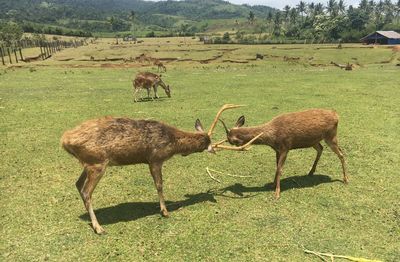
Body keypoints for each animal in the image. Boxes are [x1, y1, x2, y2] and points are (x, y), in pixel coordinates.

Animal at [61, 104, 258, 233]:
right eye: (207, 142)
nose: (213, 149)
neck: (172, 142)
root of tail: (64, 140)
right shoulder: (155, 158)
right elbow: (159, 185)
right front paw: (165, 211)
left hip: (88, 163)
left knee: (77, 184)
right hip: (97, 162)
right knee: (86, 191)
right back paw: (99, 227)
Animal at [214, 108, 348, 199]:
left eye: (230, 140)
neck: (272, 136)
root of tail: (337, 115)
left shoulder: (285, 147)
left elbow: (280, 169)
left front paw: (277, 193)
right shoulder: (277, 150)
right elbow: (276, 166)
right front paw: (273, 184)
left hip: (331, 136)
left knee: (341, 154)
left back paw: (345, 179)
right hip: (313, 140)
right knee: (321, 149)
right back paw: (310, 172)